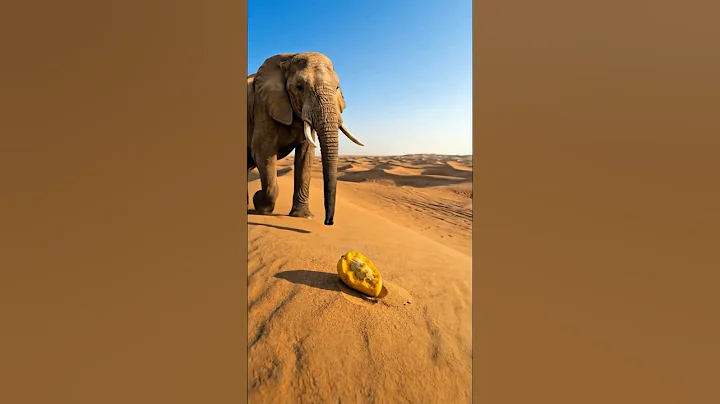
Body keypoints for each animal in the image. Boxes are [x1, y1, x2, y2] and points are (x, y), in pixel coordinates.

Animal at [247, 52, 364, 226]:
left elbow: (305, 156)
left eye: (337, 87)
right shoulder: (263, 105)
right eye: (299, 87)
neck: (288, 58)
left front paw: (303, 216)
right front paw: (259, 205)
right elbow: (263, 152)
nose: (328, 222)